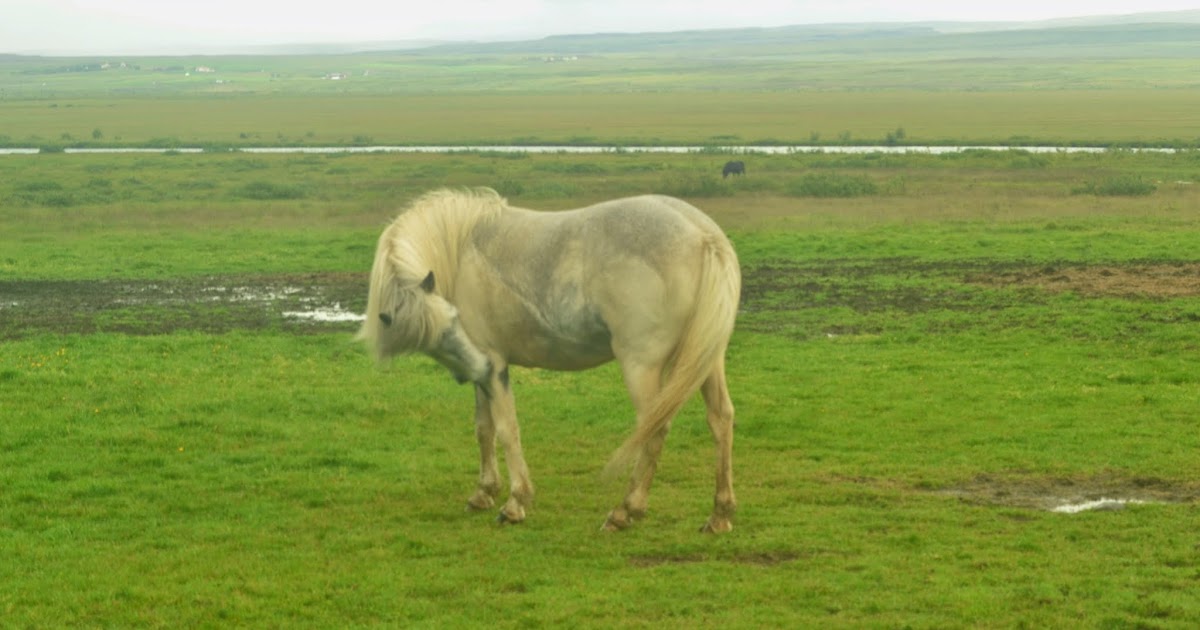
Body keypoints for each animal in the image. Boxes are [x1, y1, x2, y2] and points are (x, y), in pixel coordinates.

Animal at [358, 188, 740, 532]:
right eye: (437, 334)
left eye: (452, 320)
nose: (478, 366)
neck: (461, 249)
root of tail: (702, 234)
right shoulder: (486, 375)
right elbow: (484, 428)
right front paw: (484, 493)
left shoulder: (496, 367)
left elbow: (507, 429)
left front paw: (515, 503)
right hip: (706, 361)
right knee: (720, 419)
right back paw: (719, 515)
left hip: (640, 367)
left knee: (655, 427)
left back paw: (625, 511)